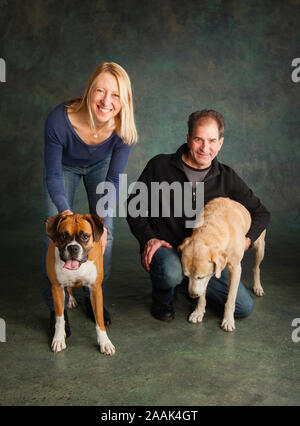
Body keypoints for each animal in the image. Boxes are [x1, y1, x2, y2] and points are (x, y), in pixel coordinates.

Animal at [45, 213, 115, 356]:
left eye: (85, 237)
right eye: (63, 236)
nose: (73, 247)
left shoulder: (95, 289)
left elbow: (99, 319)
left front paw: (105, 342)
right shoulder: (57, 288)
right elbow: (59, 318)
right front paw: (58, 338)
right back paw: (71, 299)